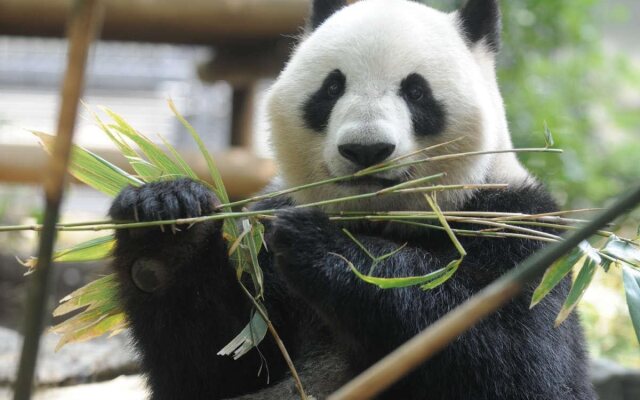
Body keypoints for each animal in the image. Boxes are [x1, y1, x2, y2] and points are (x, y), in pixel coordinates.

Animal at [109, 0, 596, 400]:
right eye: (331, 88)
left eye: (415, 91)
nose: (366, 149)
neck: (374, 218)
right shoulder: (262, 250)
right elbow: (218, 364)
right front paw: (166, 220)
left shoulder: (519, 230)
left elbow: (518, 362)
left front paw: (327, 249)